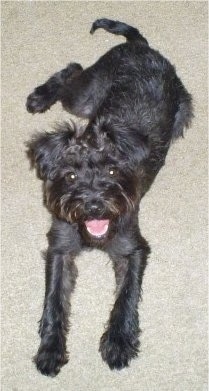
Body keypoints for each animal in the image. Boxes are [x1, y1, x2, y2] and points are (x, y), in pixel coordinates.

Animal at [25, 18, 193, 376]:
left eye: (114, 172)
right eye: (71, 175)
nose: (93, 205)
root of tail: (141, 46)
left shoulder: (133, 249)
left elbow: (126, 297)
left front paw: (118, 342)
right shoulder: (60, 248)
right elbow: (53, 301)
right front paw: (50, 349)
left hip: (181, 112)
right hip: (83, 99)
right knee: (72, 69)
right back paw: (40, 97)